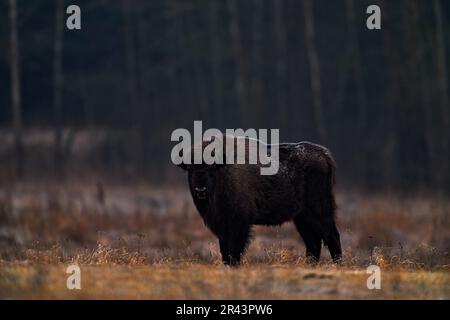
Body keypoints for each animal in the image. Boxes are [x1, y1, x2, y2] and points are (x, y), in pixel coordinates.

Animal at [176, 134, 342, 264]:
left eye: (211, 167)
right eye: (189, 168)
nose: (200, 190)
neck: (223, 170)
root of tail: (324, 155)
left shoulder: (239, 223)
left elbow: (234, 250)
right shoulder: (221, 225)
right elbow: (225, 250)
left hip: (319, 210)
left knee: (331, 235)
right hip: (302, 217)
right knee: (313, 242)